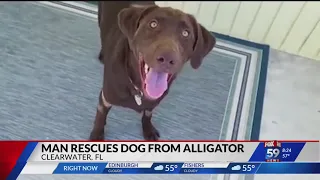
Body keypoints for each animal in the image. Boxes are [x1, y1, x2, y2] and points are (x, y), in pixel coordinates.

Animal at [89, 1, 216, 141]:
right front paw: (97, 135)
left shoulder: (152, 103)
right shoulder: (105, 98)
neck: (139, 91)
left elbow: (147, 115)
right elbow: (101, 116)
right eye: (153, 24)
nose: (167, 58)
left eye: (186, 33)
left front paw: (148, 130)